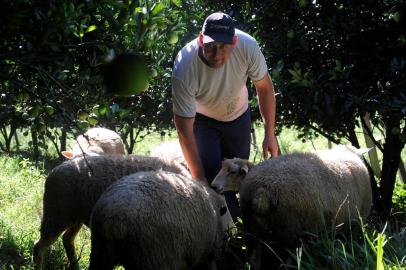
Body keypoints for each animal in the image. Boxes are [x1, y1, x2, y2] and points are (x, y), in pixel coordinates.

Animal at [32, 154, 190, 270]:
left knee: (67, 239)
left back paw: (75, 265)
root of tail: (54, 170)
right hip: (56, 215)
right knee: (39, 247)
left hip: (75, 217)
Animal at [211, 146, 372, 270]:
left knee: (254, 259)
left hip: (254, 231)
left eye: (232, 171)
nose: (213, 186)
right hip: (293, 231)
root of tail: (262, 192)